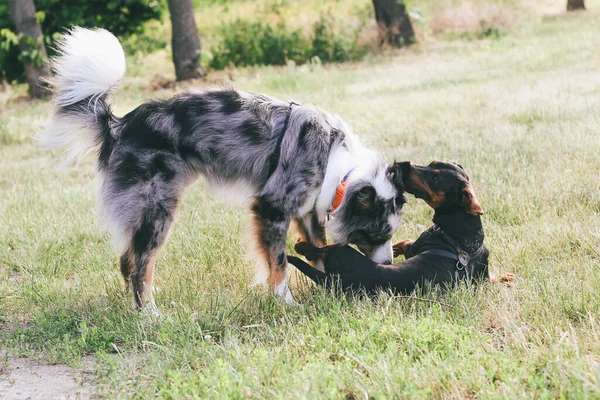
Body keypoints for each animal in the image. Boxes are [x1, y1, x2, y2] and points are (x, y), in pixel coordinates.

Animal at [41, 28, 408, 312]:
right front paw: (285, 302)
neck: (336, 164)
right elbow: (278, 263)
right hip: (156, 208)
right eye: (375, 234)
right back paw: (150, 314)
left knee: (128, 260)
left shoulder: (307, 212)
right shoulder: (272, 207)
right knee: (139, 263)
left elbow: (318, 251)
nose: (389, 266)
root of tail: (120, 124)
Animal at [288, 161, 500, 296]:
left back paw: (301, 246)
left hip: (340, 250)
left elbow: (404, 243)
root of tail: (344, 281)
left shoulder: (413, 247)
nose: (402, 165)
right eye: (433, 163)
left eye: (435, 178)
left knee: (317, 251)